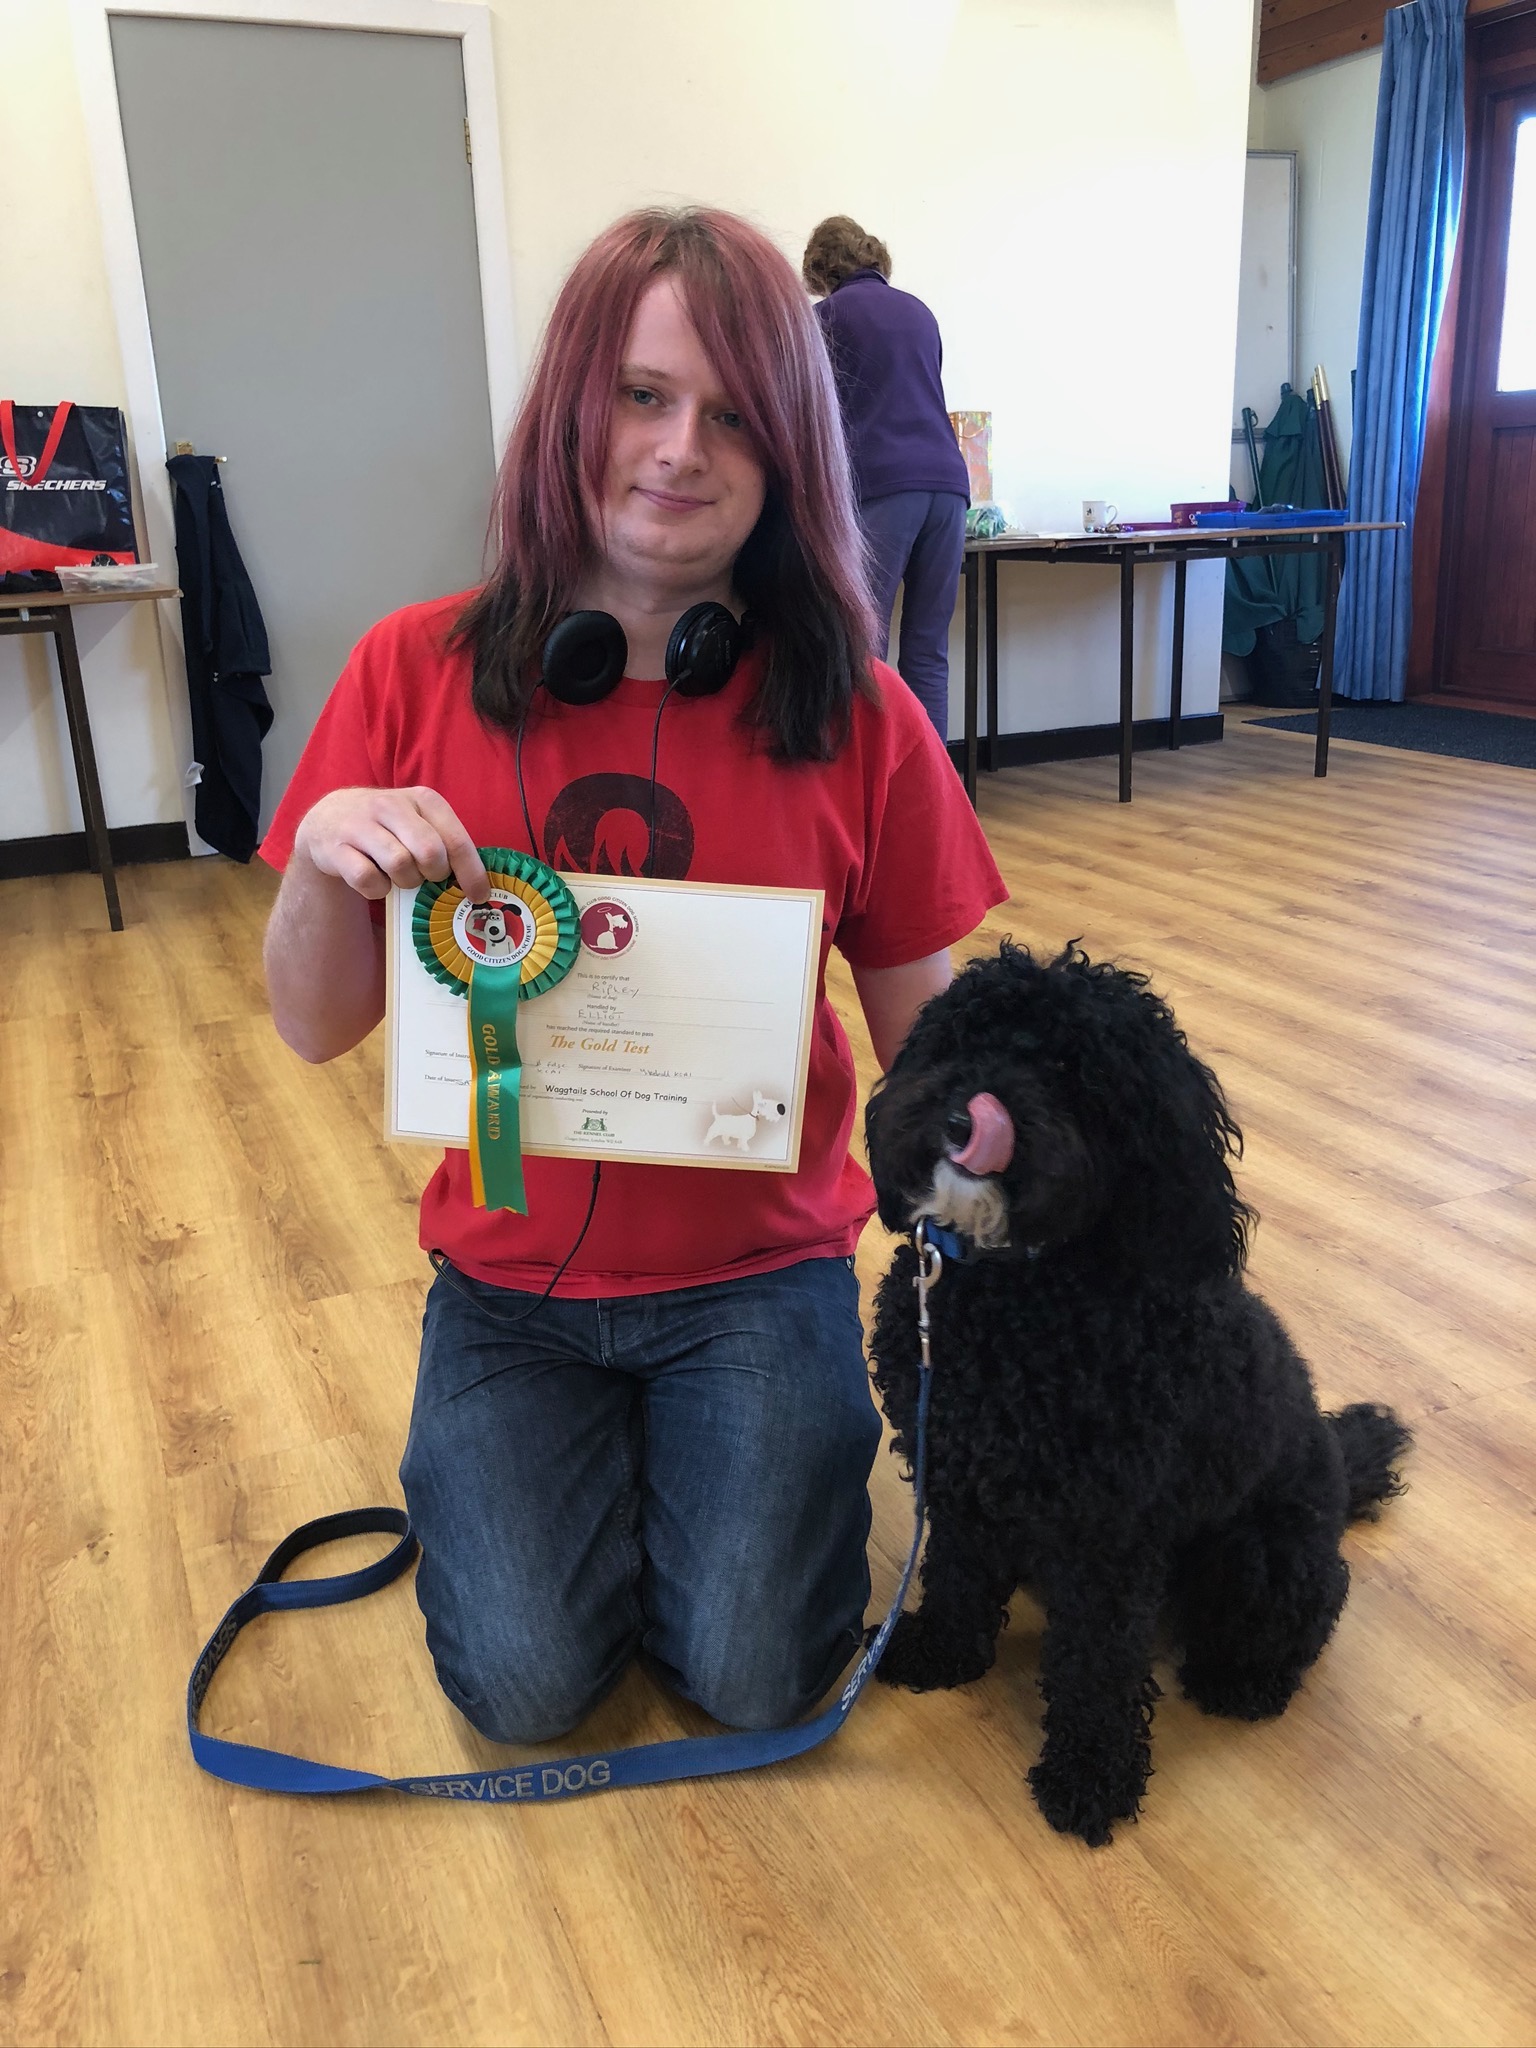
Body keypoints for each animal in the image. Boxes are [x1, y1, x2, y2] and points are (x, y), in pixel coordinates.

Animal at [872, 942, 1417, 1859]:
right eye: (962, 1038)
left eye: (1074, 1072)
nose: (961, 1116)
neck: (1016, 1300)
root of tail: (1339, 1476)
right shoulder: (961, 1480)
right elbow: (955, 1576)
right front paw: (941, 1653)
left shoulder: (1109, 1536)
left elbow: (1095, 1664)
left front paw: (1089, 1776)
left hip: (1261, 1556)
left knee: (1304, 1619)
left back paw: (1243, 1681)